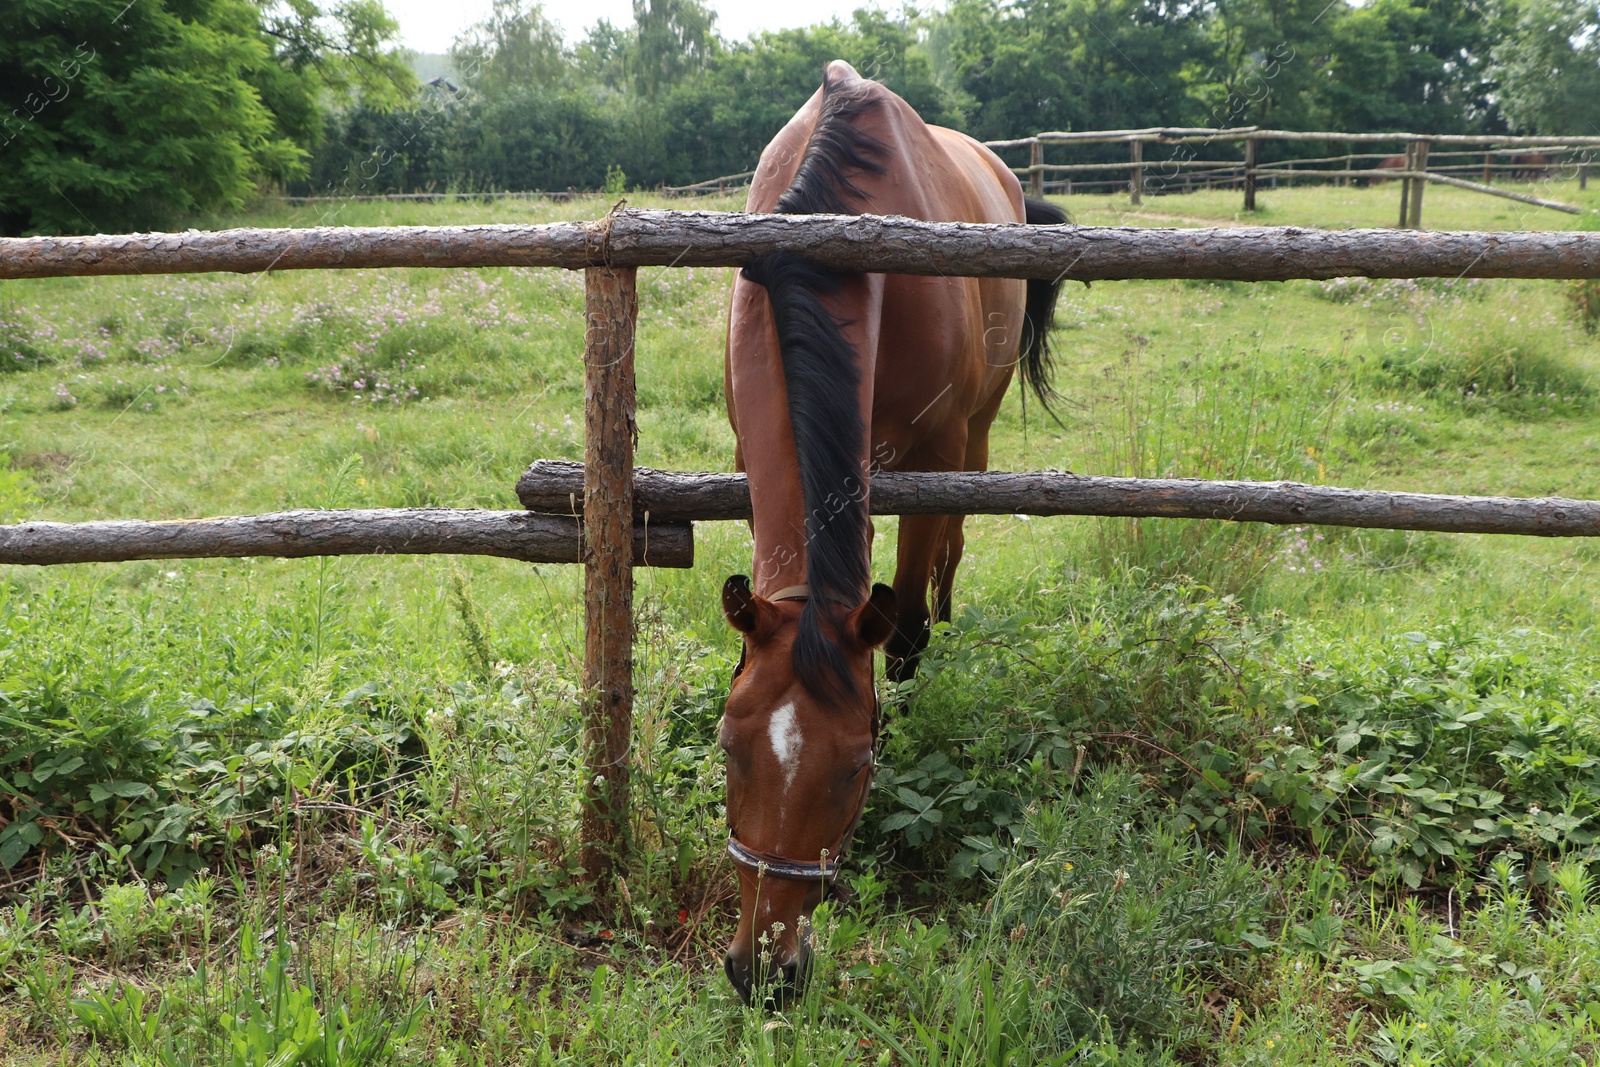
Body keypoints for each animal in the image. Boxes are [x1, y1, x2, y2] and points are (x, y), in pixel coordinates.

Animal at [713, 62, 1062, 1004]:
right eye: (729, 748)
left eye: (855, 768)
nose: (765, 971)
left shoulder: (932, 455)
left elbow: (899, 630)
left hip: (975, 434)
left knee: (952, 544)